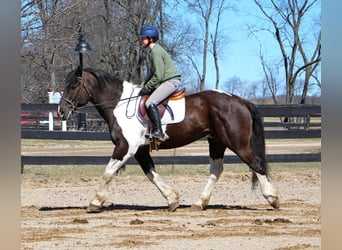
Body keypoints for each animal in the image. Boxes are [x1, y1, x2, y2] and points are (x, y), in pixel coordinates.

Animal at [57, 66, 280, 213]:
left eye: (74, 85)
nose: (61, 111)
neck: (120, 104)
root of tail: (238, 99)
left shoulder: (126, 147)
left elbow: (108, 172)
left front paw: (95, 202)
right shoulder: (140, 150)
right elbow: (151, 175)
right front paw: (172, 199)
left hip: (237, 143)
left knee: (256, 164)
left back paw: (273, 199)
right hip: (217, 142)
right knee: (216, 170)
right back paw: (200, 203)